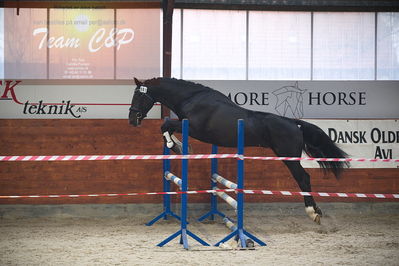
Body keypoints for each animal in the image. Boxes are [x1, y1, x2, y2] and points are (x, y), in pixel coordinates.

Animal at [130, 77, 348, 224]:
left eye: (138, 95)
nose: (132, 119)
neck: (192, 99)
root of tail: (295, 124)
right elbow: (167, 127)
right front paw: (179, 146)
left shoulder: (194, 128)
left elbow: (165, 125)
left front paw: (175, 146)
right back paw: (316, 211)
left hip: (289, 157)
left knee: (303, 178)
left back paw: (313, 212)